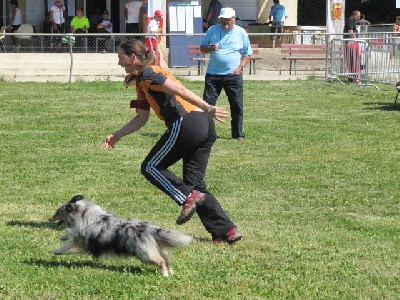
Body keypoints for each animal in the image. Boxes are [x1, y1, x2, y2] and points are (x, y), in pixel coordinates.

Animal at [49, 195, 193, 276]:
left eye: (58, 212)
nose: (49, 219)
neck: (83, 214)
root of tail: (150, 229)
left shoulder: (80, 241)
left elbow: (67, 245)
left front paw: (56, 251)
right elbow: (68, 238)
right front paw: (61, 238)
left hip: (145, 254)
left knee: (160, 261)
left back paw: (164, 275)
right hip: (156, 249)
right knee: (167, 259)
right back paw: (170, 272)